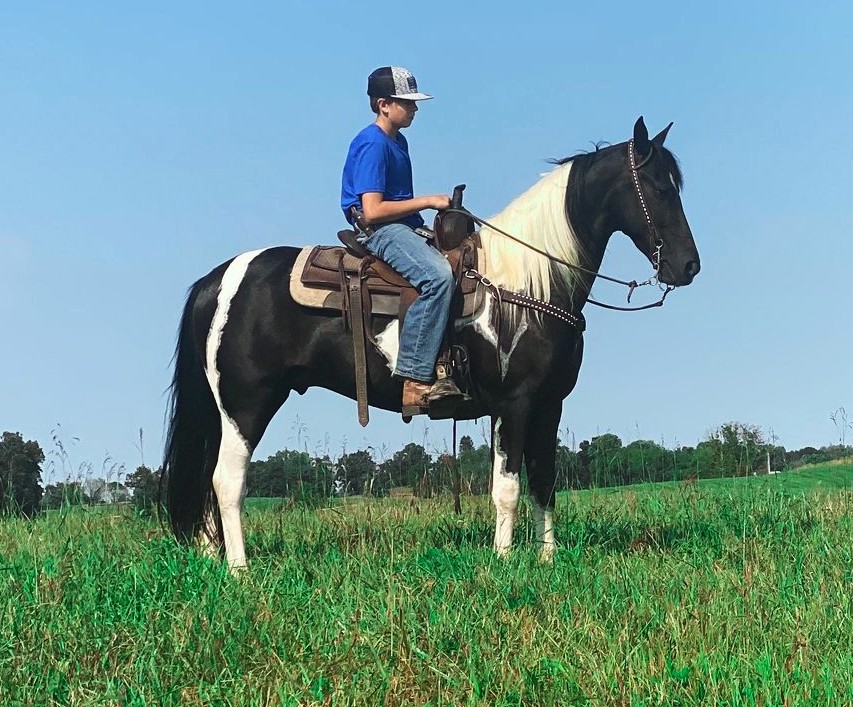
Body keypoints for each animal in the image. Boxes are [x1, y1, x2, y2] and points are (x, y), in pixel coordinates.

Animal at [163, 117, 700, 569]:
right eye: (657, 188)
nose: (688, 266)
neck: (530, 284)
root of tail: (217, 280)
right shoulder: (514, 402)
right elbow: (506, 486)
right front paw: (504, 561)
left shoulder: (550, 404)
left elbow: (545, 481)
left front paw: (548, 560)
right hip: (246, 403)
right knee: (227, 481)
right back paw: (240, 571)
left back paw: (213, 560)